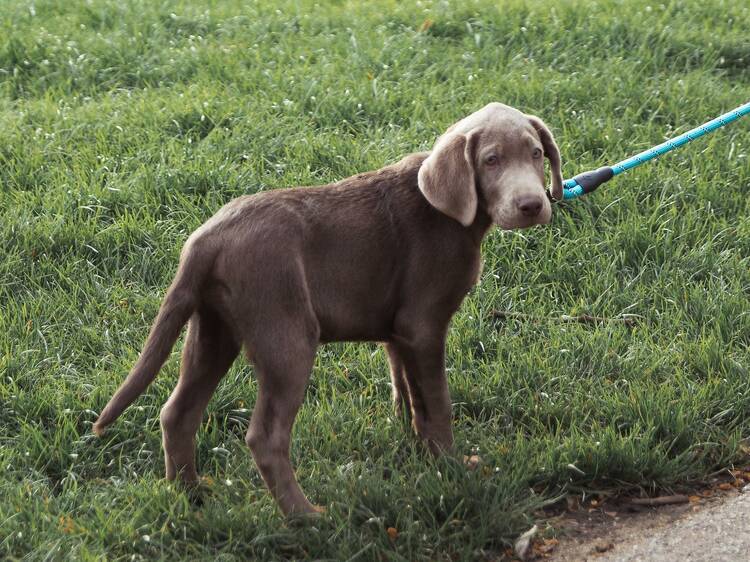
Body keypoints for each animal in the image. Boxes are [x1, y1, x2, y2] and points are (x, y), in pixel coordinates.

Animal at [94, 103, 560, 516]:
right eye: (491, 161)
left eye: (536, 153)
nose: (532, 205)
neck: (453, 213)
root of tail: (205, 240)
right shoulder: (424, 326)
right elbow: (438, 402)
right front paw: (451, 468)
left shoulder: (398, 331)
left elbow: (409, 395)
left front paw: (418, 452)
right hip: (287, 338)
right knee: (264, 437)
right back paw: (304, 516)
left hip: (212, 331)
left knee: (177, 414)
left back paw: (190, 497)